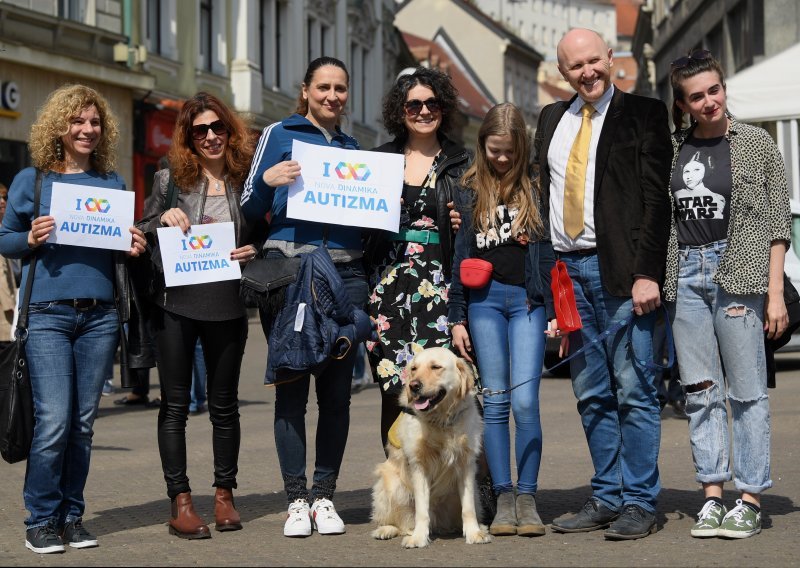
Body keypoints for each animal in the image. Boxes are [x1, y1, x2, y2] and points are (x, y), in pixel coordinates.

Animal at [370, 348, 494, 548]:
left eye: (436, 367)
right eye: (413, 369)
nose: (413, 385)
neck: (441, 420)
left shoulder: (466, 464)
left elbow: (468, 508)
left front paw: (474, 533)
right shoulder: (419, 466)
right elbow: (422, 510)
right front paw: (419, 537)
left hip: (471, 492)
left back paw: (479, 527)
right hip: (390, 485)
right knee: (399, 523)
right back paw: (386, 530)